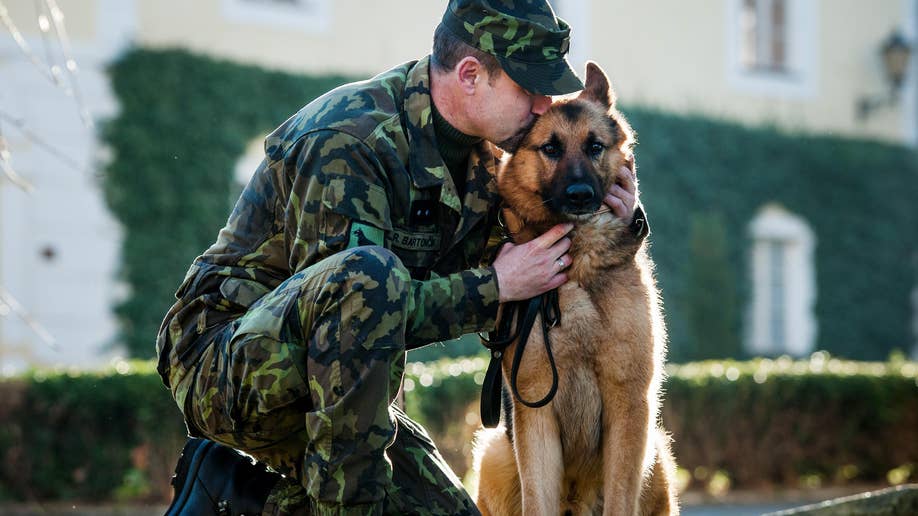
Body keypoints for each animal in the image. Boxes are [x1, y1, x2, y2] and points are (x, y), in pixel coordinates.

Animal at [474, 64, 684, 516]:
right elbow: (537, 501)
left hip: (657, 454)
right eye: (550, 148)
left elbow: (621, 498)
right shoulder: (534, 411)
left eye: (594, 146)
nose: (580, 195)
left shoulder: (629, 405)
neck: (578, 263)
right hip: (494, 454)